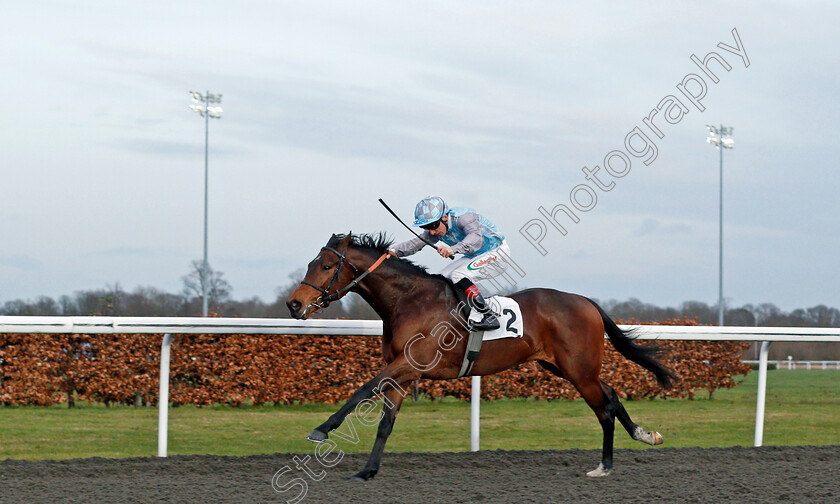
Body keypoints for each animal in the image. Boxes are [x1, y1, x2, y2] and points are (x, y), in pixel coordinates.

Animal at [288, 234, 676, 478]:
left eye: (326, 266)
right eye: (310, 263)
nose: (293, 304)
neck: (410, 301)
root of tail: (586, 302)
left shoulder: (408, 364)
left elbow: (362, 389)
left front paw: (321, 430)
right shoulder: (404, 372)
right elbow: (385, 422)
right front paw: (368, 470)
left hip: (579, 370)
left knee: (604, 407)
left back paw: (605, 466)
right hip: (564, 367)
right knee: (610, 396)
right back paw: (644, 436)